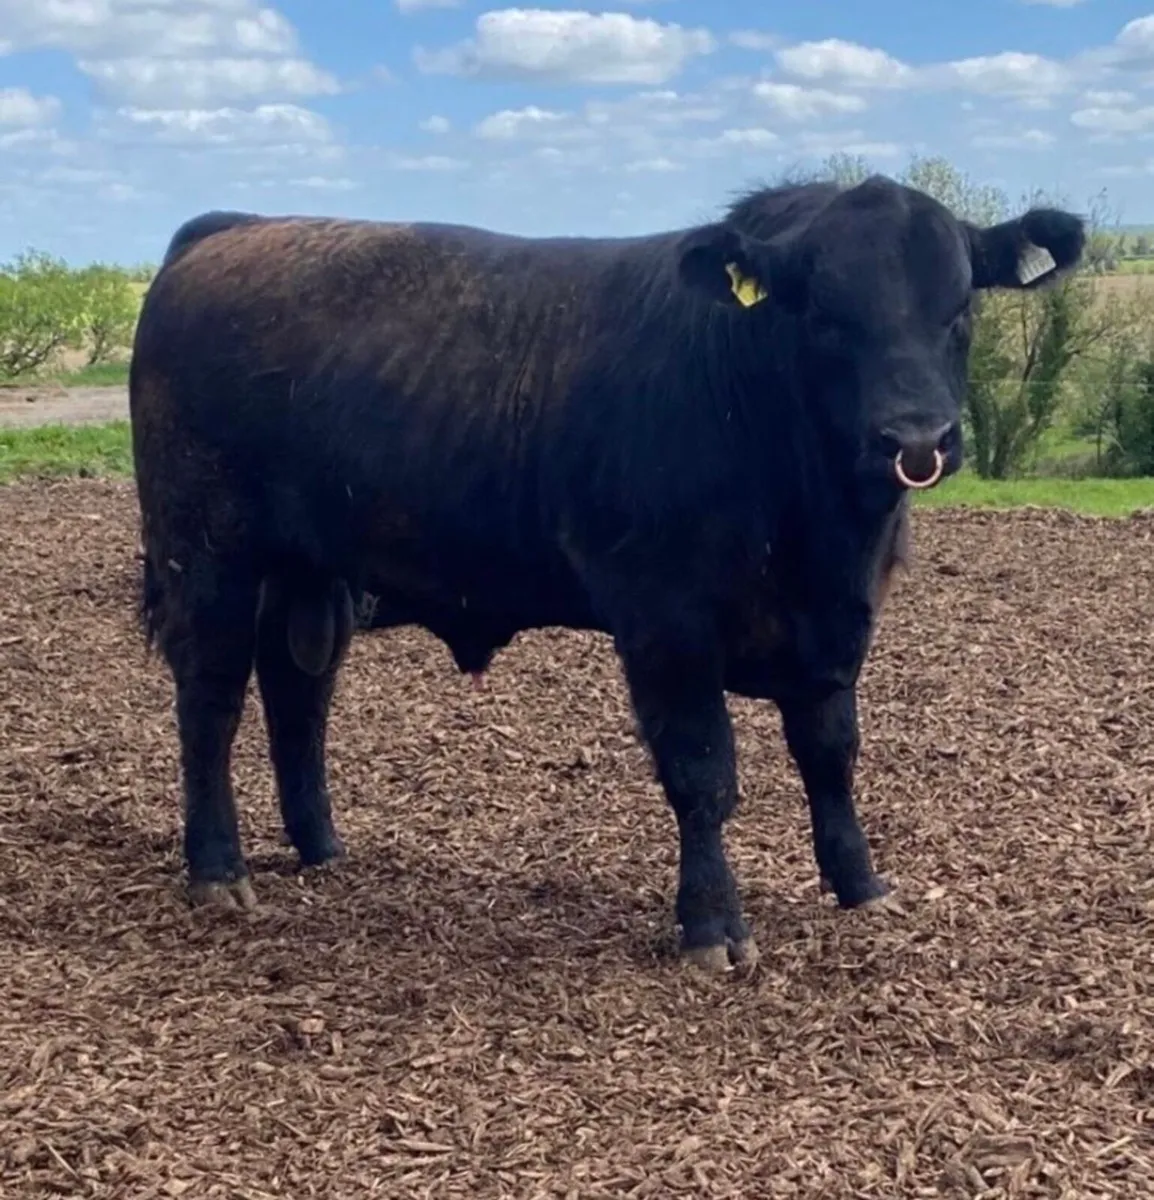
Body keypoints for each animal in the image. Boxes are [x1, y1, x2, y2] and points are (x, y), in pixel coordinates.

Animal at [129, 174, 1085, 973]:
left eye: (958, 308)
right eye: (824, 314)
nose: (916, 438)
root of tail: (235, 227)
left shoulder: (837, 627)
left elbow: (831, 755)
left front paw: (861, 887)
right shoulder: (667, 621)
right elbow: (703, 774)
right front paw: (713, 928)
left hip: (310, 570)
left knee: (298, 693)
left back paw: (322, 848)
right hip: (206, 552)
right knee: (210, 698)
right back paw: (218, 870)